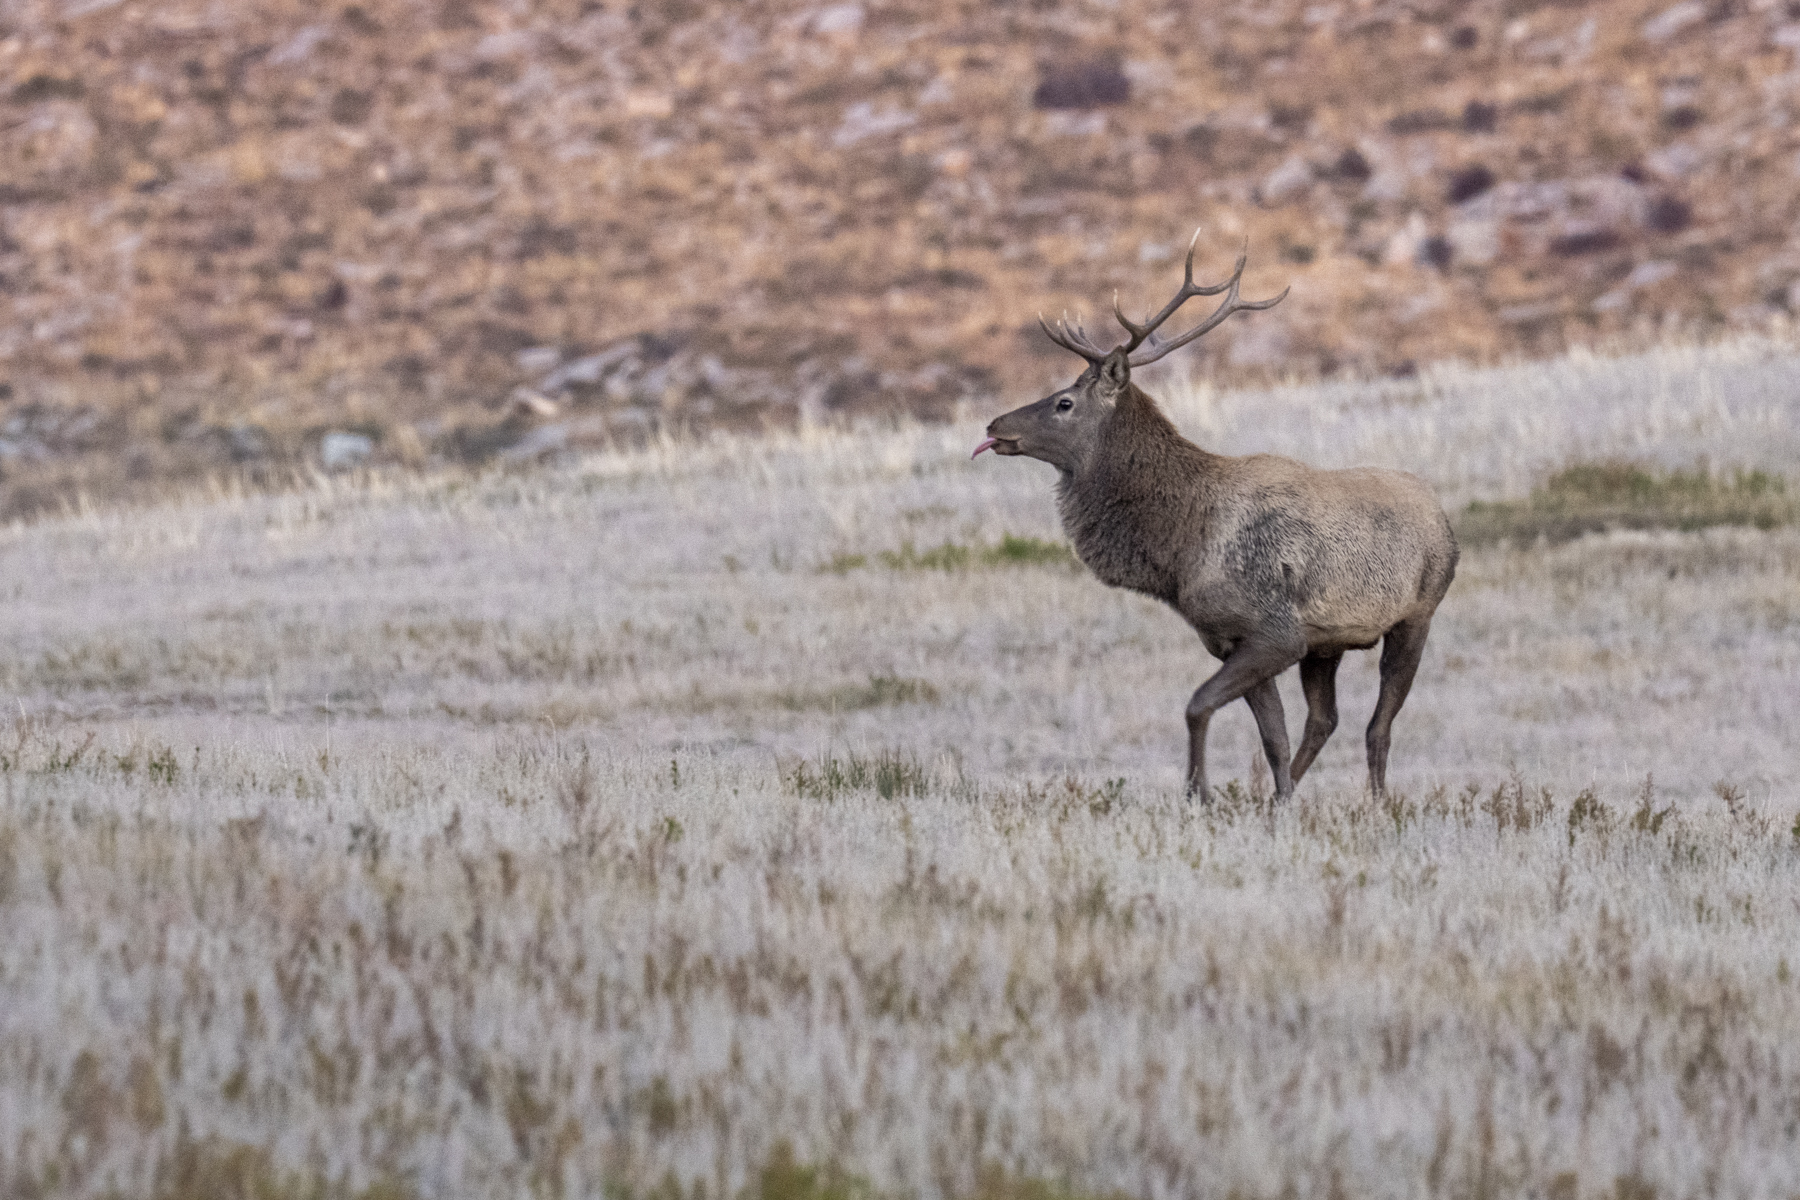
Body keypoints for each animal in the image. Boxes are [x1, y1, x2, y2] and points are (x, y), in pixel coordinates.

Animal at [973, 233, 1457, 802]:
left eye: (1064, 402)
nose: (994, 425)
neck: (1179, 554)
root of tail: (1442, 514)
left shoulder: (1274, 632)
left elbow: (1197, 705)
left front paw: (1199, 793)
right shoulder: (1235, 640)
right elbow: (1273, 736)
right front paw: (1276, 803)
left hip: (1417, 614)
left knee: (1378, 725)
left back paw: (1379, 804)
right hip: (1329, 644)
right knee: (1324, 720)